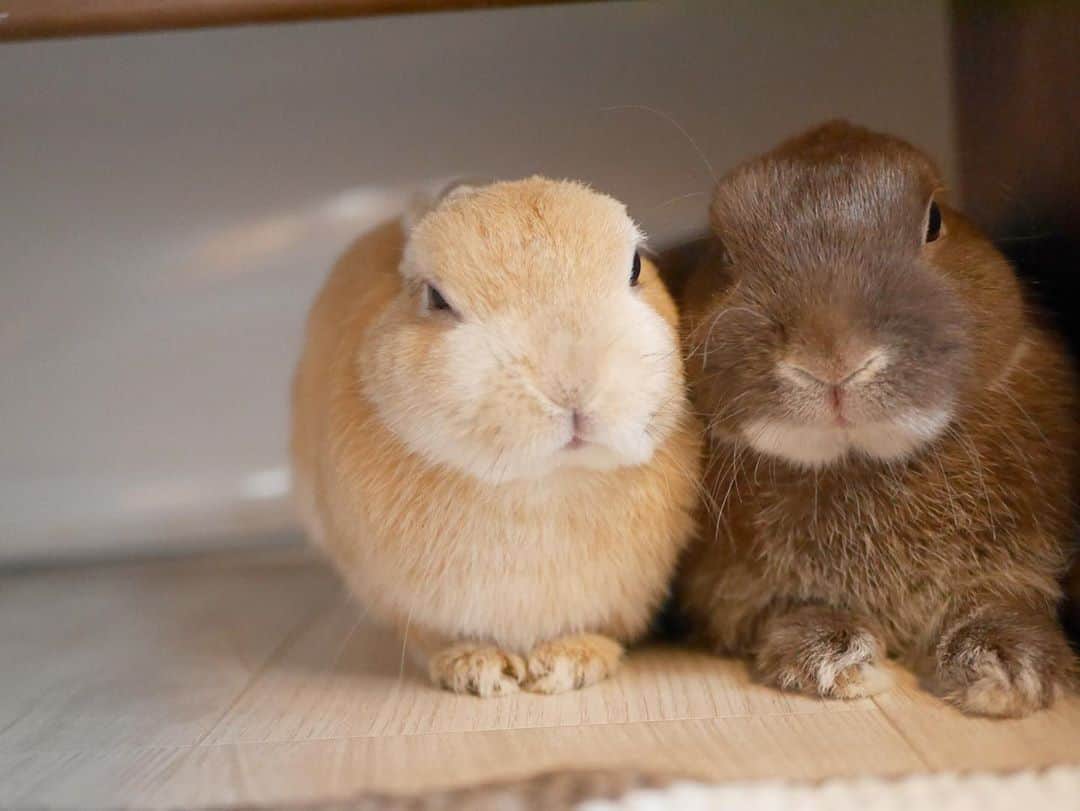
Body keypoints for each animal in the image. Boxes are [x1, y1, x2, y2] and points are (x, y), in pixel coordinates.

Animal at [291, 177, 701, 697]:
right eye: (435, 298)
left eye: (635, 267)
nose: (572, 383)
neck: (543, 483)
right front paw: (478, 670)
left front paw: (569, 663)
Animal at [676, 121, 1078, 718]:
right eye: (723, 253)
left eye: (935, 221)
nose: (831, 357)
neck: (858, 460)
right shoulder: (736, 590)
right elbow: (786, 611)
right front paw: (834, 659)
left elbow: (999, 600)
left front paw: (1009, 668)